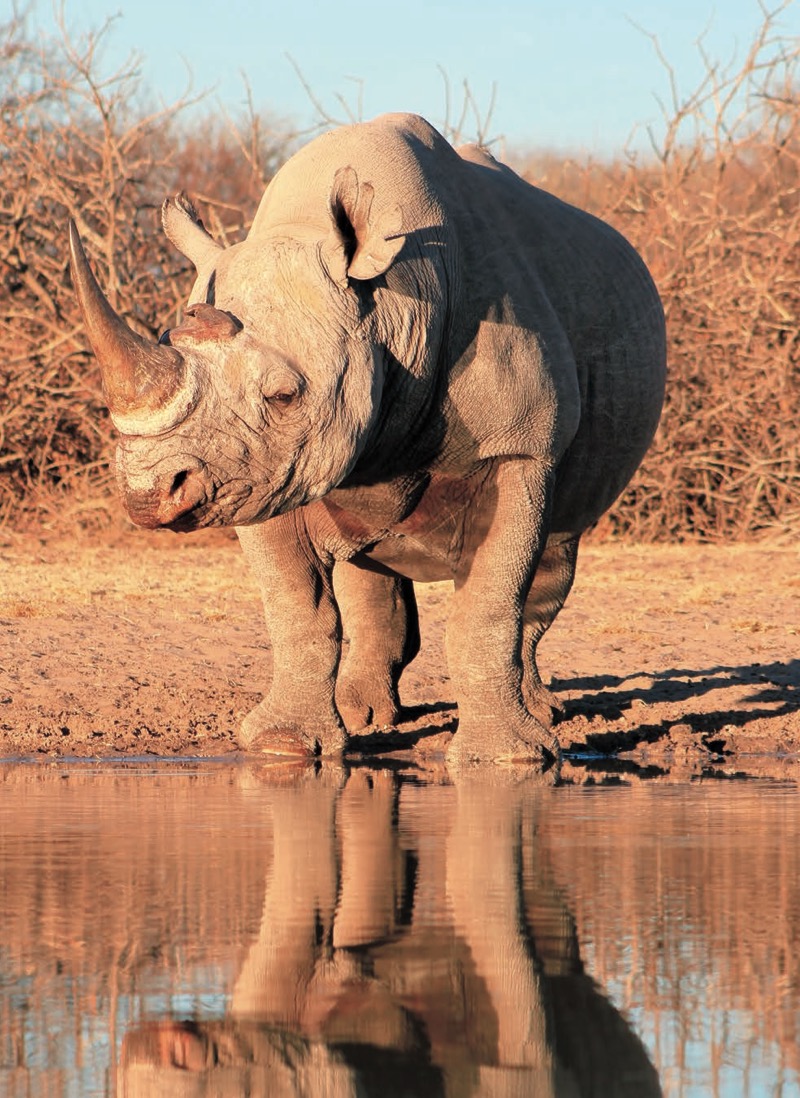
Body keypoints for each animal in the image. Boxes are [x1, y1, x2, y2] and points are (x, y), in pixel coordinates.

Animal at [69, 112, 666, 765]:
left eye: (284, 395)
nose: (150, 494)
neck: (392, 304)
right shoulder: (260, 470)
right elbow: (297, 609)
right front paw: (284, 746)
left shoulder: (519, 448)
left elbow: (489, 606)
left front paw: (507, 759)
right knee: (368, 564)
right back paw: (365, 715)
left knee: (553, 558)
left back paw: (541, 714)